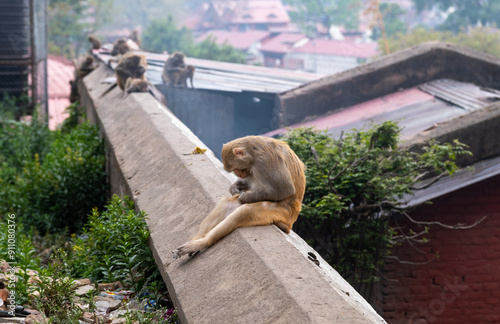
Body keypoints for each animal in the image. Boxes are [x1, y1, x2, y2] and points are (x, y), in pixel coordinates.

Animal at [171, 135, 304, 260]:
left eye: (237, 169)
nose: (240, 174)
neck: (254, 153)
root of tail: (290, 223)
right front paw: (234, 188)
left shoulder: (264, 161)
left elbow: (285, 189)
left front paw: (244, 197)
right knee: (226, 204)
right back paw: (197, 240)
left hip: (281, 212)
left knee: (246, 211)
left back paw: (202, 242)